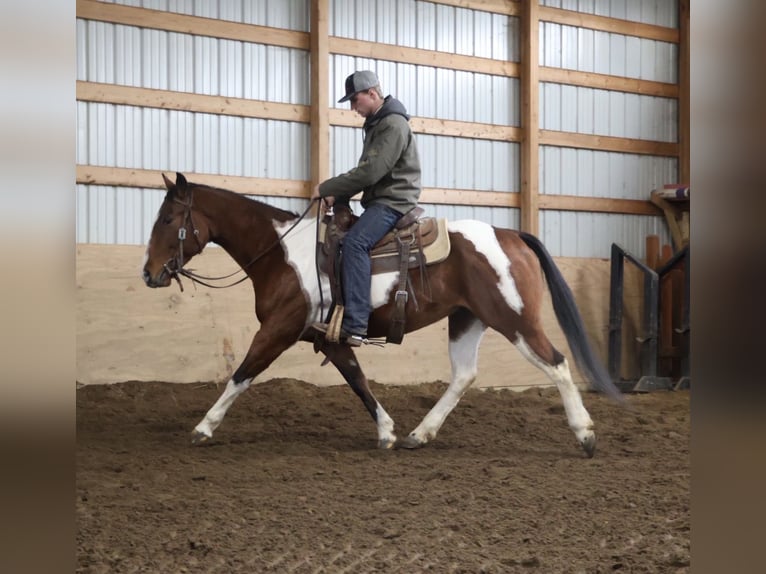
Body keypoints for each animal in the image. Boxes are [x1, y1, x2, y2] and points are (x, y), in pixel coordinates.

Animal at [142, 172, 622, 457]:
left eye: (167, 219)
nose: (149, 273)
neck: (282, 253)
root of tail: (511, 234)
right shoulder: (329, 337)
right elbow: (358, 380)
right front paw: (388, 431)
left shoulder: (278, 329)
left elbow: (241, 375)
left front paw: (204, 427)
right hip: (468, 319)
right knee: (464, 375)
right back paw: (419, 434)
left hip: (516, 320)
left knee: (556, 364)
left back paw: (585, 434)